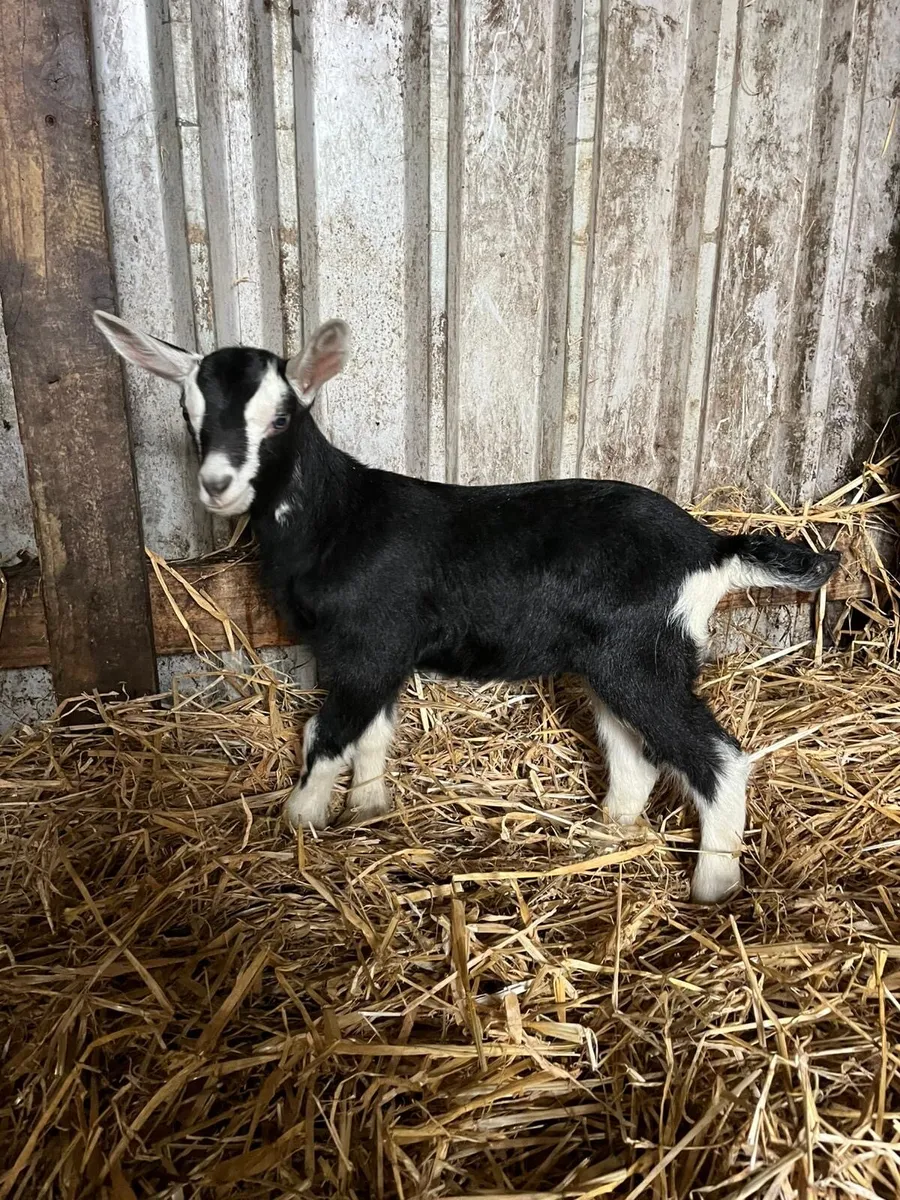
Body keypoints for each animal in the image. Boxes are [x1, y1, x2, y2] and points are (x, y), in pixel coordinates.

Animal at [94, 311, 841, 903]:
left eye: (279, 418)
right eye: (189, 416)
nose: (216, 485)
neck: (337, 517)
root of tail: (710, 546)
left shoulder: (366, 645)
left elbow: (325, 733)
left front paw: (301, 818)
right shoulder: (381, 653)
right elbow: (372, 731)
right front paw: (368, 808)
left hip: (643, 656)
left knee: (717, 757)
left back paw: (714, 884)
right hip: (614, 659)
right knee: (636, 752)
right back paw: (607, 832)